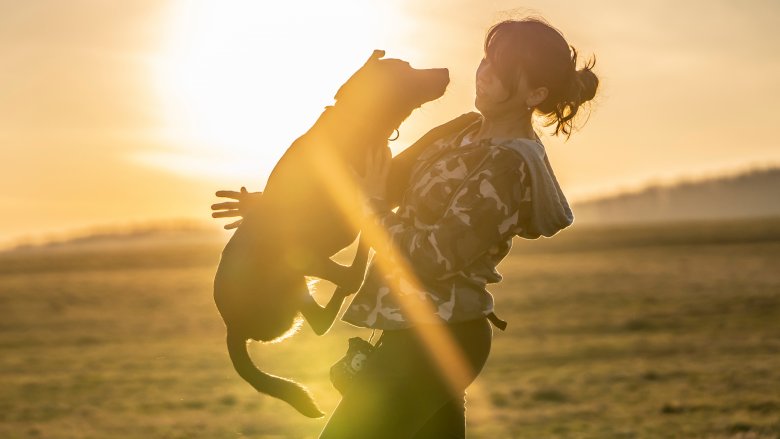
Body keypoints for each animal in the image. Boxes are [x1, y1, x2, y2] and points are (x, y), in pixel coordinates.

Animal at [213, 51, 448, 420]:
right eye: (405, 71)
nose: (446, 71)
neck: (359, 122)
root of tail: (232, 328)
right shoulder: (379, 180)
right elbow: (415, 151)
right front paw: (463, 120)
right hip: (292, 260)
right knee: (342, 288)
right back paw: (365, 253)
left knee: (323, 315)